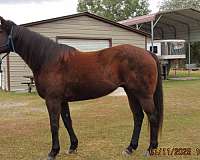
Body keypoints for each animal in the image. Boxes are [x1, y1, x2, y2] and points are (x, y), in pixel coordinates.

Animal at [0, 16, 163, 159]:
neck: (48, 60)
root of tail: (147, 52)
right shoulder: (62, 100)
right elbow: (67, 121)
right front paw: (73, 146)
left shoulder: (52, 100)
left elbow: (54, 124)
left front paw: (53, 152)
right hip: (131, 93)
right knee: (138, 117)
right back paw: (130, 148)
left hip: (143, 95)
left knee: (152, 117)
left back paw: (150, 149)